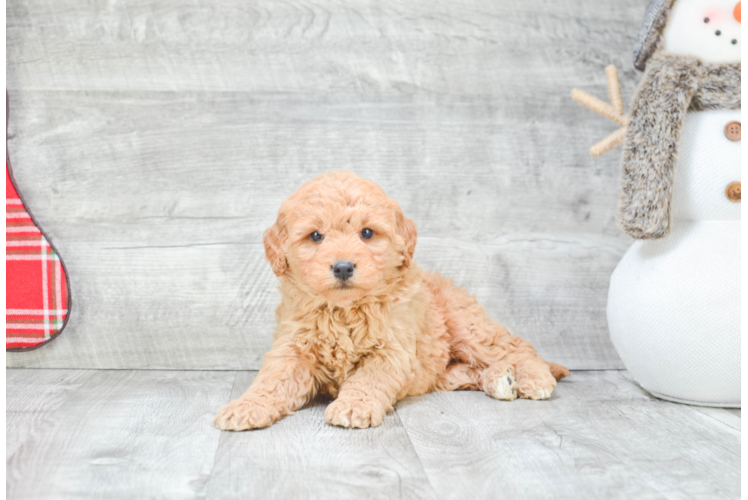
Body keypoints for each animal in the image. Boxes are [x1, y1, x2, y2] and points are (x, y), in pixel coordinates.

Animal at [215, 172, 568, 430]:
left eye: (367, 233)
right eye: (315, 236)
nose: (343, 267)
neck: (344, 310)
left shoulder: (391, 351)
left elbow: (368, 378)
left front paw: (353, 406)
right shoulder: (292, 348)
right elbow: (271, 381)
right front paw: (245, 407)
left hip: (468, 328)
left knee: (516, 348)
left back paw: (532, 378)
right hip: (443, 367)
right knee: (464, 372)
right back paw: (500, 380)